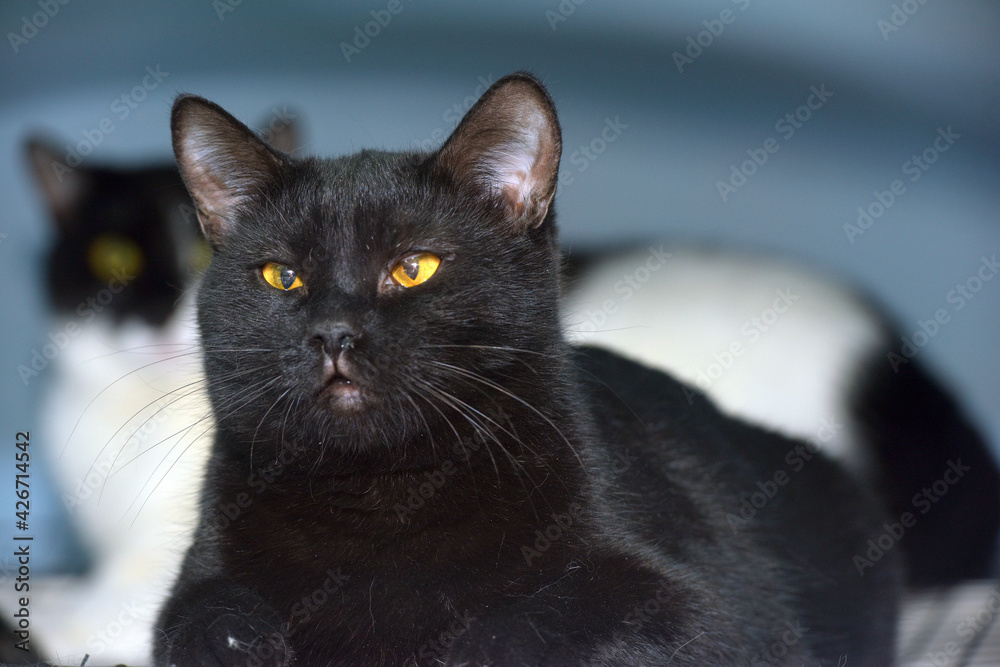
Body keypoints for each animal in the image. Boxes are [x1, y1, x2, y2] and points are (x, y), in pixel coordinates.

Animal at [154, 74, 900, 667]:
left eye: (414, 266)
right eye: (283, 276)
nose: (332, 332)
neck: (382, 496)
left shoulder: (715, 616)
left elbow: (548, 620)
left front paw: (470, 644)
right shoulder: (195, 578)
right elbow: (197, 620)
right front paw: (244, 638)